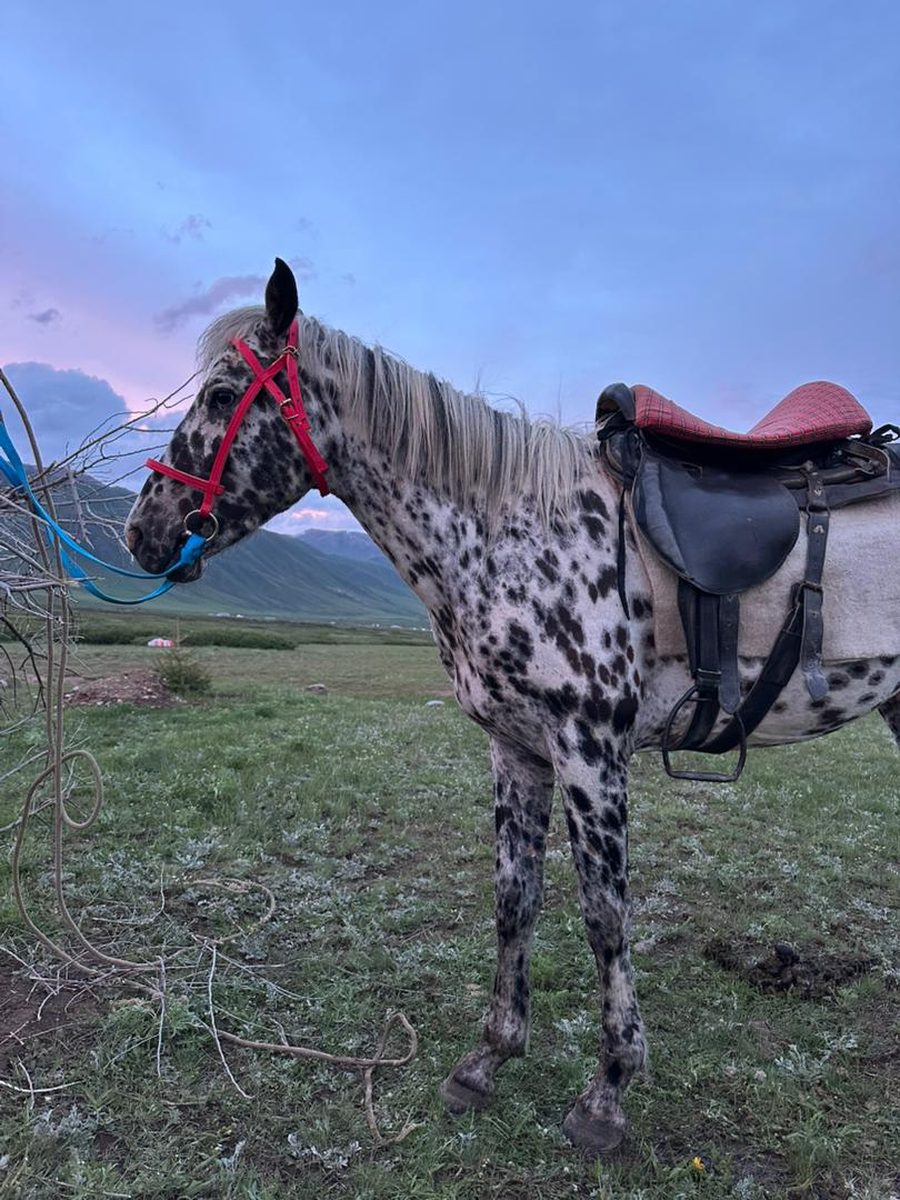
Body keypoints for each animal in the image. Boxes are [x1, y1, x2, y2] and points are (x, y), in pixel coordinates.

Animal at [125, 258, 900, 1154]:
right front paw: (488, 1059)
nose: (141, 531)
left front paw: (608, 1093)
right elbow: (514, 900)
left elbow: (604, 916)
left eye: (223, 395)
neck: (507, 537)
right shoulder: (517, 748)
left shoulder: (588, 751)